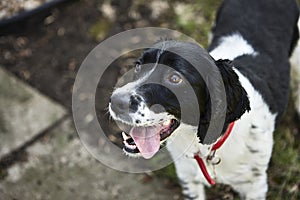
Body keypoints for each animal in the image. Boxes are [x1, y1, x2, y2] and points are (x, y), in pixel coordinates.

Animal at [109, 0, 298, 199]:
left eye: (175, 78)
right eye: (138, 66)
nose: (116, 101)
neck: (206, 146)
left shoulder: (255, 185)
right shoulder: (187, 176)